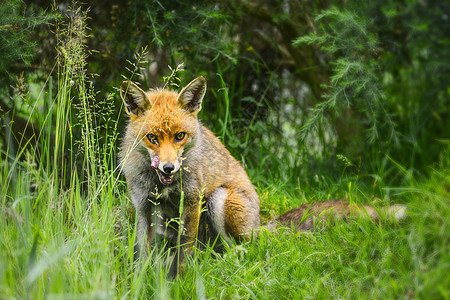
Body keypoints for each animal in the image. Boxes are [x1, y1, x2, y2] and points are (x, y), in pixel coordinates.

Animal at [118, 75, 406, 276]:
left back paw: (227, 262)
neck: (161, 185)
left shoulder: (190, 201)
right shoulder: (143, 206)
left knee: (244, 249)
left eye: (180, 136)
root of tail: (259, 223)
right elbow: (142, 254)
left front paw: (177, 280)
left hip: (220, 200)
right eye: (152, 138)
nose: (168, 168)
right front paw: (139, 281)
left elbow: (183, 251)